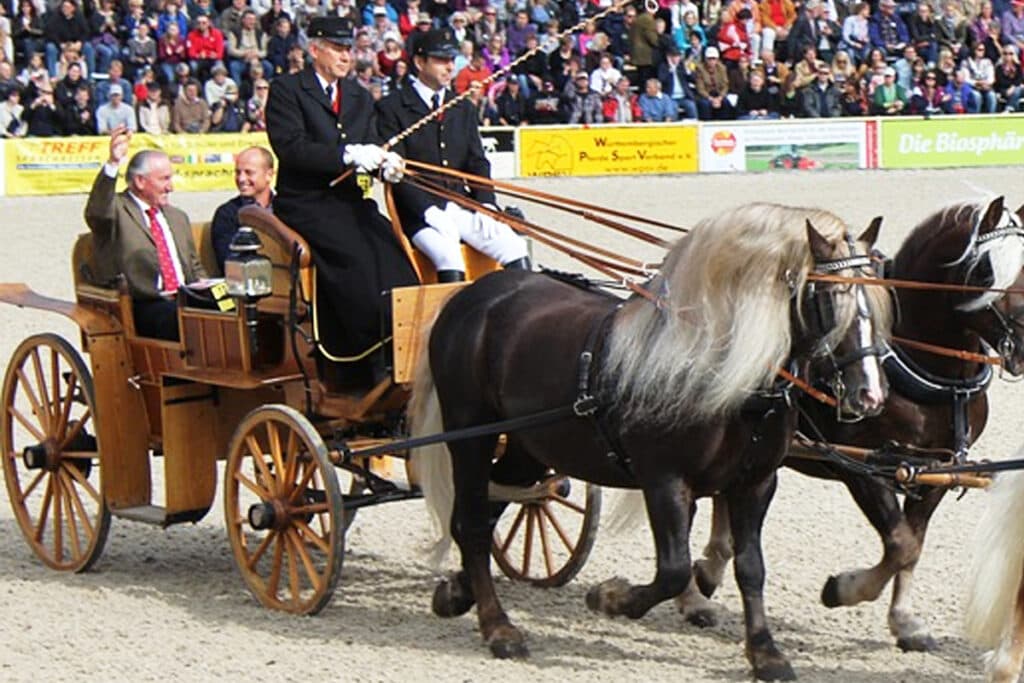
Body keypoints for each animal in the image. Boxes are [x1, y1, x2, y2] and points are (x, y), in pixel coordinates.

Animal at [409, 203, 893, 681]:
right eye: (830, 297)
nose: (871, 394)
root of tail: (476, 296)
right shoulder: (664, 481)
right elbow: (674, 570)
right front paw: (609, 598)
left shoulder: (755, 483)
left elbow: (751, 568)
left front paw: (765, 652)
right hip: (471, 435)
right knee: (473, 522)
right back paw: (497, 626)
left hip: (529, 447)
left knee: (491, 508)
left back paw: (458, 593)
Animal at [687, 196, 1024, 652]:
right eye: (988, 269)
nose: (1023, 341)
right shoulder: (863, 466)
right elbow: (899, 544)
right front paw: (843, 589)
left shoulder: (937, 469)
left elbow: (913, 544)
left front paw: (905, 621)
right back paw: (694, 593)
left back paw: (710, 568)